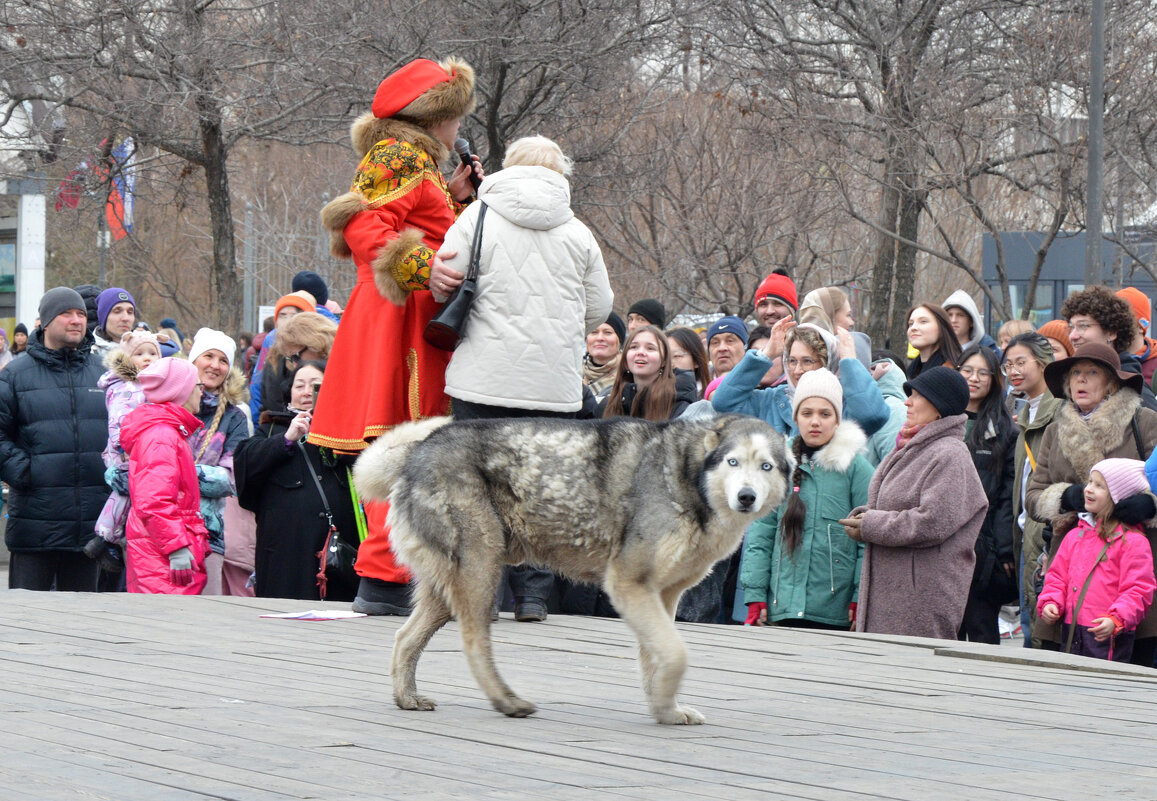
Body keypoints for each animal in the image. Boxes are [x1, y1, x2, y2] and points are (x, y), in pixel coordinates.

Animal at [351, 412, 786, 726]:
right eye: (732, 462)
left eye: (766, 467)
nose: (746, 497)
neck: (685, 474)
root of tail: (419, 449)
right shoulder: (627, 584)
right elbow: (676, 654)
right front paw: (666, 701)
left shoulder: (661, 595)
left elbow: (656, 659)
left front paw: (665, 710)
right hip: (480, 573)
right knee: (474, 644)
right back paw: (507, 701)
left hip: (448, 589)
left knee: (405, 638)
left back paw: (407, 698)